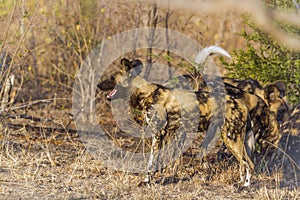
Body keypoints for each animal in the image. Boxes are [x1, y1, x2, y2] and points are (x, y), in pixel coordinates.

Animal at [99, 54, 254, 186]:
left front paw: (147, 181)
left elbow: (150, 162)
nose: (98, 85)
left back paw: (245, 187)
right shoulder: (163, 135)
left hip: (232, 139)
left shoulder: (157, 135)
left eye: (112, 78)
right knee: (243, 164)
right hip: (231, 139)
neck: (145, 93)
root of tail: (241, 104)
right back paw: (240, 183)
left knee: (248, 164)